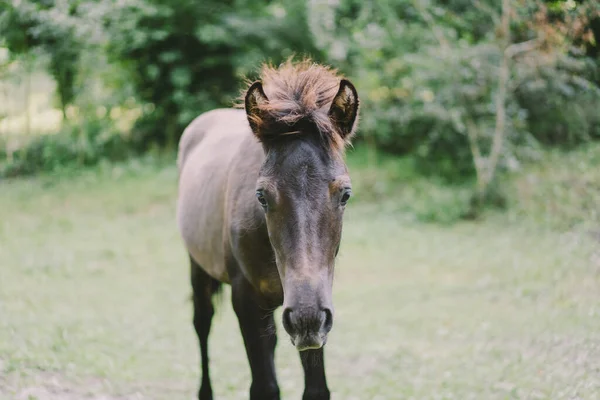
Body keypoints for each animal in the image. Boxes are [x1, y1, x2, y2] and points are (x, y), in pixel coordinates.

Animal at [176, 59, 358, 400]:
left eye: (345, 194)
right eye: (261, 195)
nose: (306, 318)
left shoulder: (317, 309)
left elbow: (316, 389)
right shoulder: (246, 300)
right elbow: (264, 387)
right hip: (198, 266)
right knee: (202, 324)